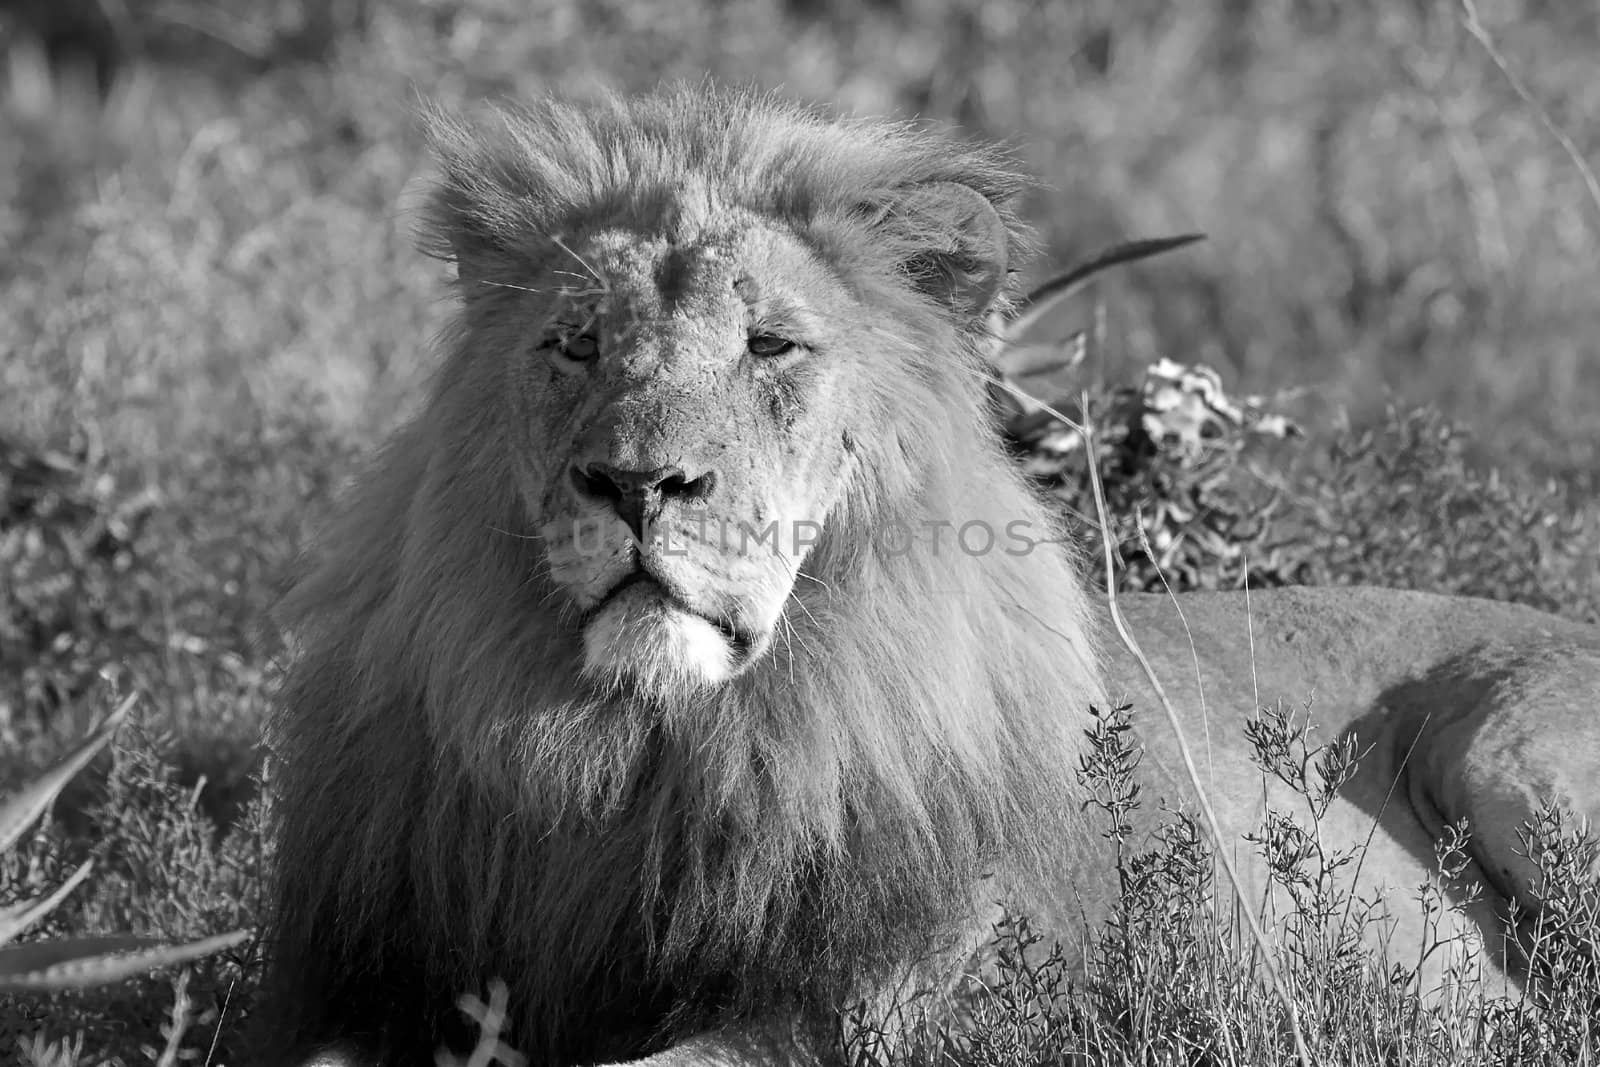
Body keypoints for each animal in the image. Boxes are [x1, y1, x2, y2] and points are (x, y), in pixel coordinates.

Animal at [262, 85, 1600, 1067]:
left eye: (771, 344)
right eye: (574, 343)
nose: (635, 484)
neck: (642, 750)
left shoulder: (870, 1005)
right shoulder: (370, 980)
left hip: (1521, 761)